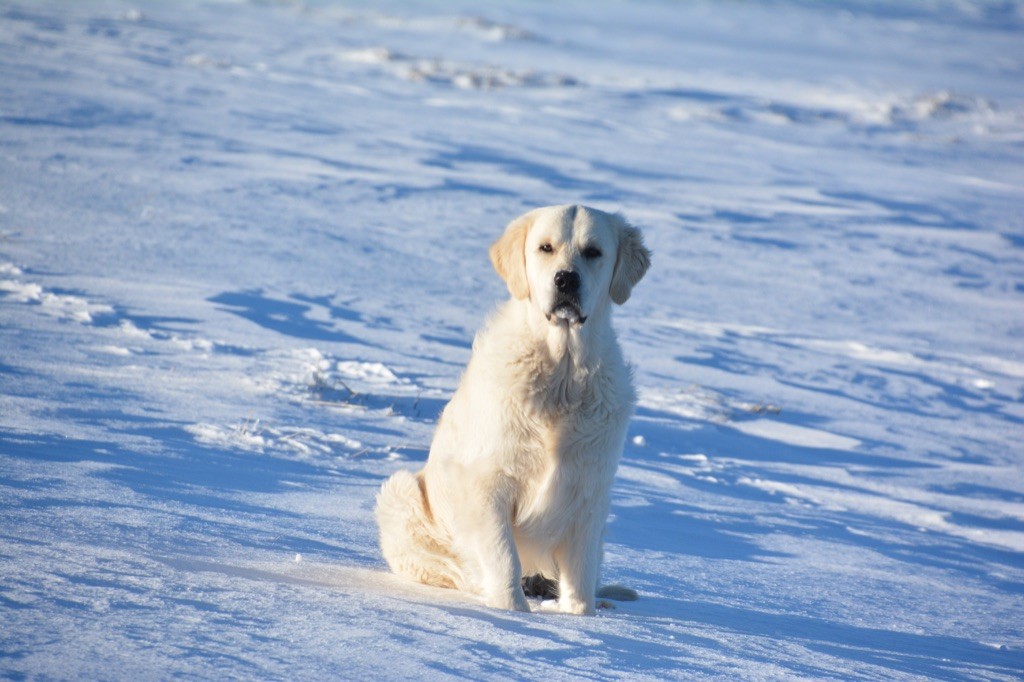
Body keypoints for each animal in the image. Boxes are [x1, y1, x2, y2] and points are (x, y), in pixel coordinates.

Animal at [374, 204, 647, 614]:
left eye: (593, 252)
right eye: (545, 247)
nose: (566, 280)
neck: (562, 374)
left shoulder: (589, 493)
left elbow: (580, 582)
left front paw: (580, 618)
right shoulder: (487, 483)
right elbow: (503, 559)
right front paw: (513, 614)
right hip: (400, 491)